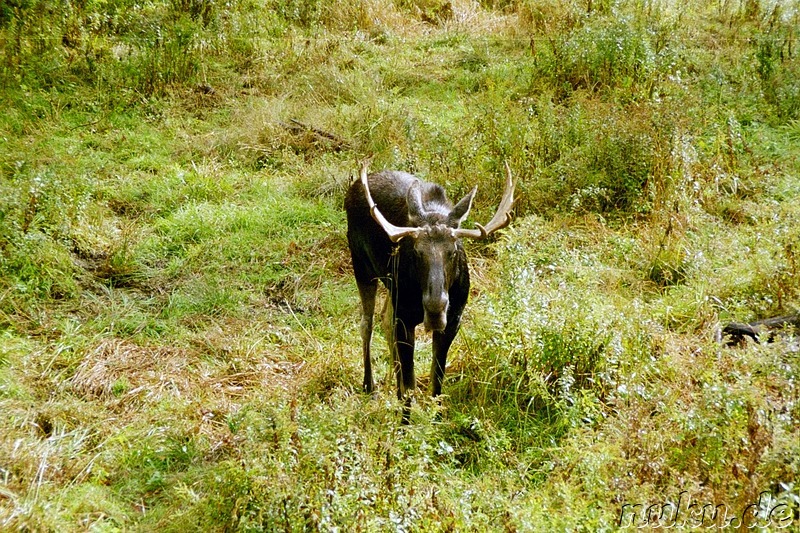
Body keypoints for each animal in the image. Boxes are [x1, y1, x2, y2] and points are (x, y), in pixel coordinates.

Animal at [344, 158, 512, 420]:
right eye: (417, 251)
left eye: (453, 251)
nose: (435, 308)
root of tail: (350, 191)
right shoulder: (405, 317)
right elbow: (411, 384)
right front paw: (404, 422)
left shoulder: (453, 320)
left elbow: (437, 379)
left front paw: (437, 419)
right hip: (361, 266)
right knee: (367, 323)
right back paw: (369, 385)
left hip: (389, 288)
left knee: (384, 319)